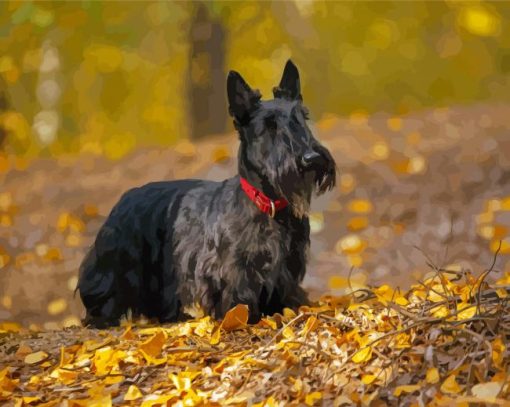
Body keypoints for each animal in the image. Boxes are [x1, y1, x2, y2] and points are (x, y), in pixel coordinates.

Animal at [76, 61, 334, 328]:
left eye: (301, 118)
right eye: (269, 126)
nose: (311, 158)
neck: (268, 204)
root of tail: (125, 197)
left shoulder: (287, 268)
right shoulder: (232, 269)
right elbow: (237, 297)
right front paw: (241, 316)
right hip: (116, 265)